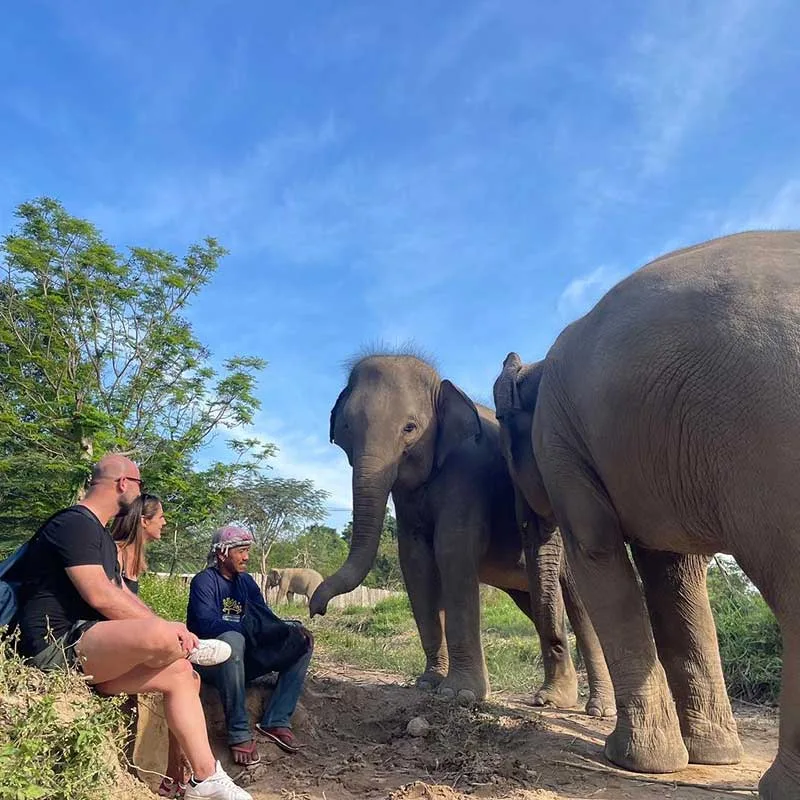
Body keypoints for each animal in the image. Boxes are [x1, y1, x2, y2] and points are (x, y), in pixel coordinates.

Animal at [309, 353, 615, 714]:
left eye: (410, 428)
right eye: (345, 430)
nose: (315, 610)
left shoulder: (468, 472)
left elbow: (452, 548)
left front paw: (460, 694)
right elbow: (415, 560)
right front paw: (428, 683)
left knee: (582, 609)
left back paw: (597, 707)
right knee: (538, 606)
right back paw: (554, 697)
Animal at [492, 230, 800, 799]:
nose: (543, 700)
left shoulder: (560, 440)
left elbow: (596, 549)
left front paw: (631, 760)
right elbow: (672, 575)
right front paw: (711, 757)